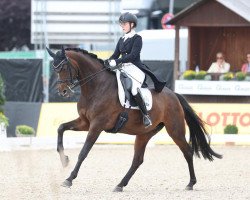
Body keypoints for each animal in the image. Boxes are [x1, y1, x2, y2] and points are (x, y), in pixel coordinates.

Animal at [46, 47, 222, 192]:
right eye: (55, 69)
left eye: (63, 68)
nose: (62, 91)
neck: (96, 87)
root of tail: (173, 95)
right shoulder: (85, 122)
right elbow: (61, 128)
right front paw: (64, 159)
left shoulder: (97, 125)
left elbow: (83, 152)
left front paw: (69, 179)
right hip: (144, 133)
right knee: (138, 160)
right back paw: (120, 185)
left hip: (175, 130)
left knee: (187, 151)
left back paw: (191, 183)